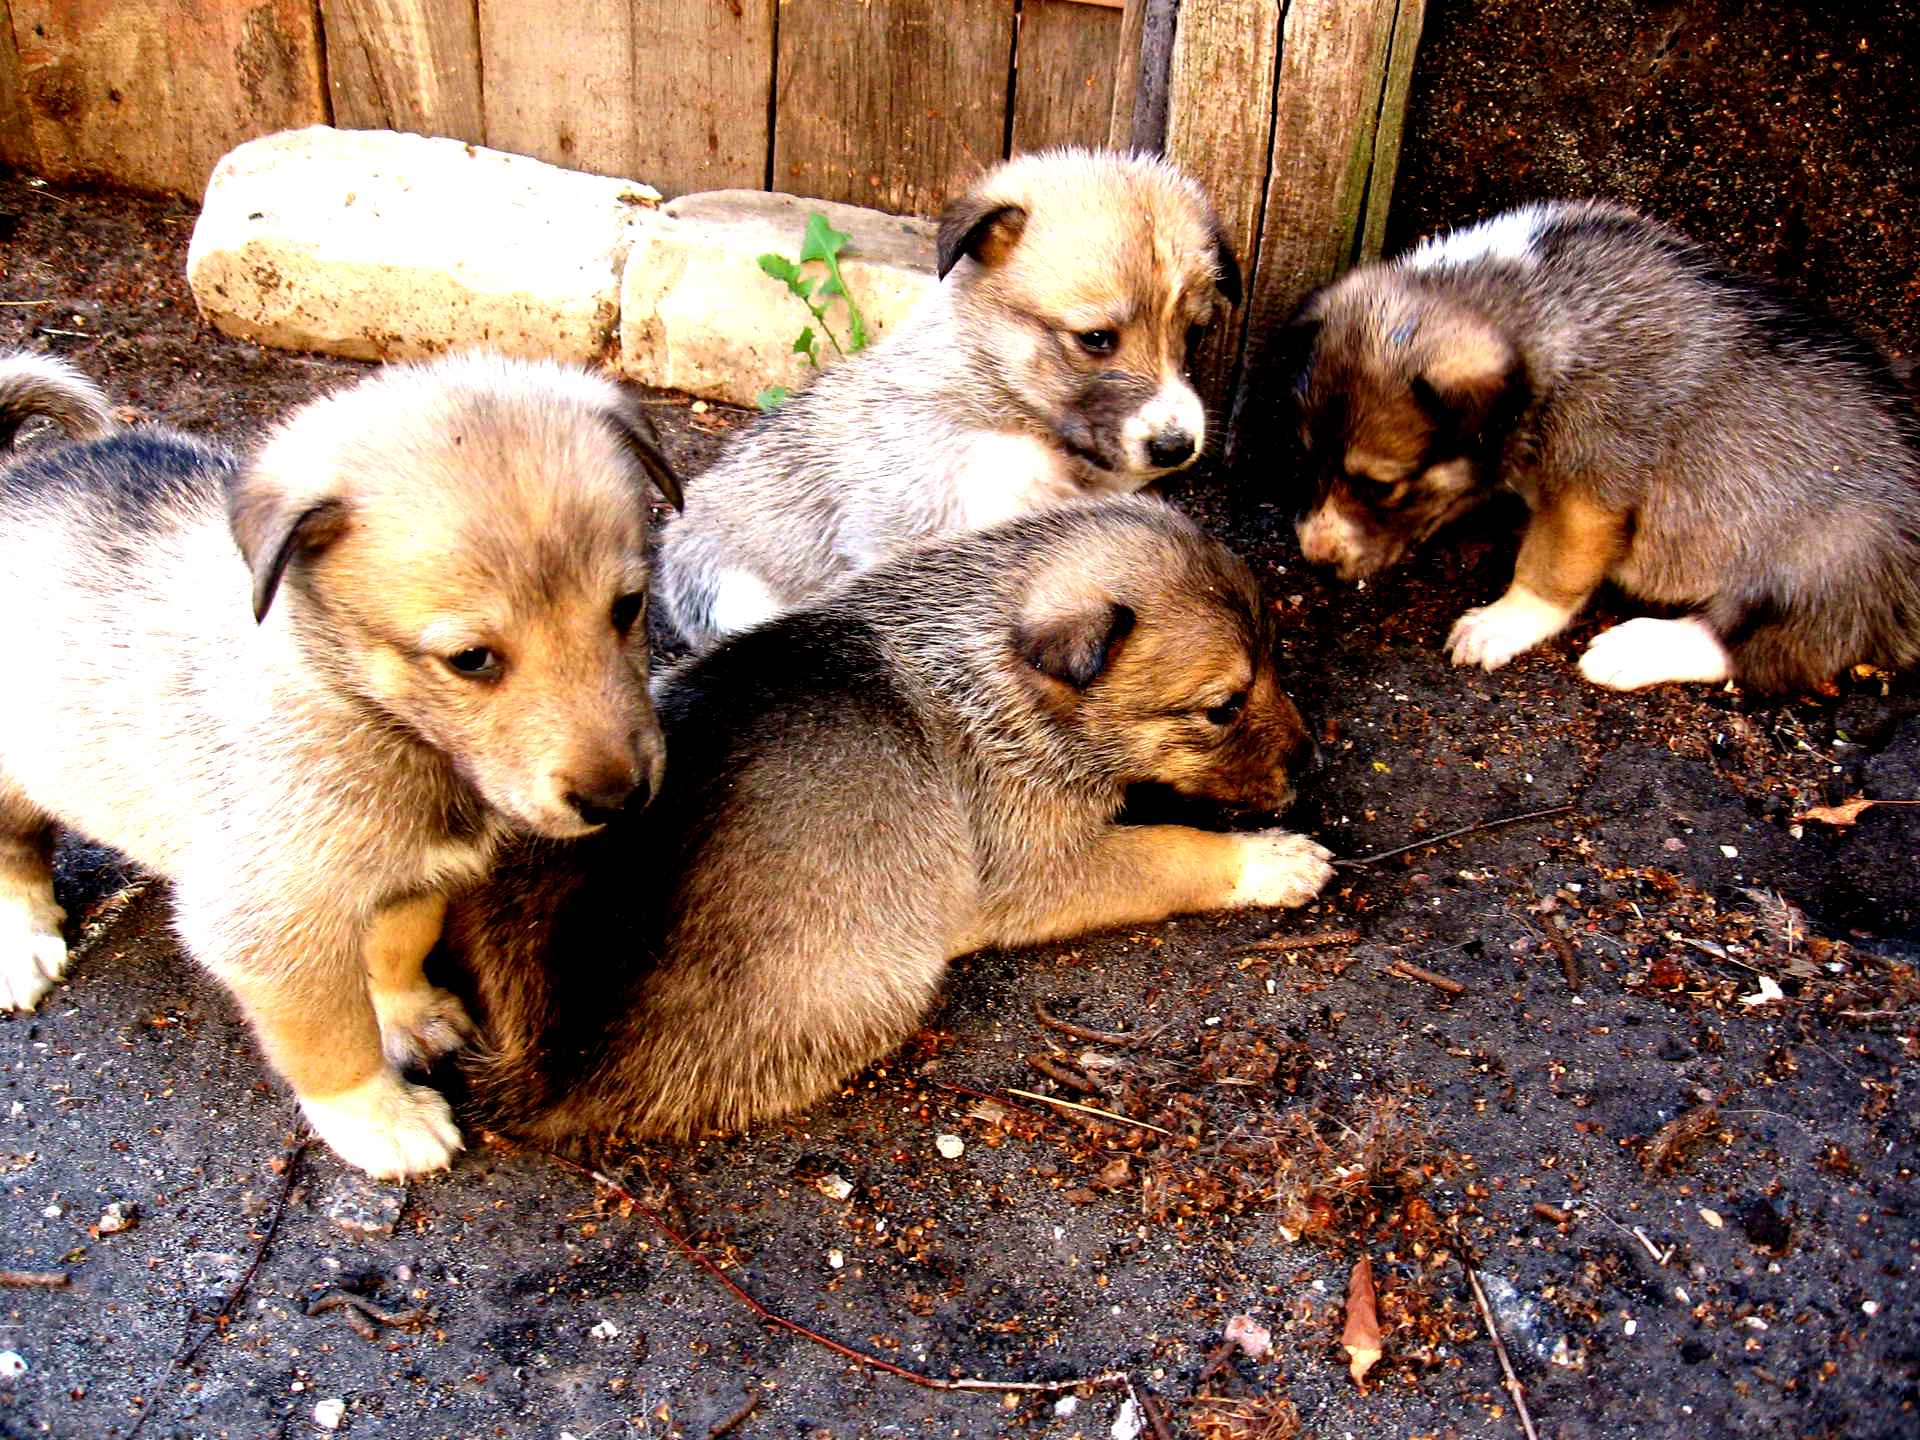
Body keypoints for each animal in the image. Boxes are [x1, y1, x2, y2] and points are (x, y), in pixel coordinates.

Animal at [0, 353, 687, 1182]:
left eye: (627, 607)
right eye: (471, 659)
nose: (619, 800)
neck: (374, 715)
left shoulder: (417, 872)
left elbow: (400, 943)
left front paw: (407, 1012)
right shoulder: (268, 920)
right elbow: (330, 1037)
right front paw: (380, 1117)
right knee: (13, 852)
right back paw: (19, 943)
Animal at [447, 503, 1328, 1144]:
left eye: (1279, 660)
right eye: (1221, 707)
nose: (1311, 762)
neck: (989, 662)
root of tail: (557, 1067)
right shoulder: (1041, 869)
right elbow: (1170, 849)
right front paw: (1272, 861)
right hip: (890, 984)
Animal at [1282, 201, 1920, 695]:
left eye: (1380, 486)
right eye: (1308, 457)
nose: (1315, 557)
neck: (1543, 311)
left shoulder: (1587, 495)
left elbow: (1549, 569)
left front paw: (1500, 624)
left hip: (1820, 569)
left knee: (1764, 649)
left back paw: (1632, 649)